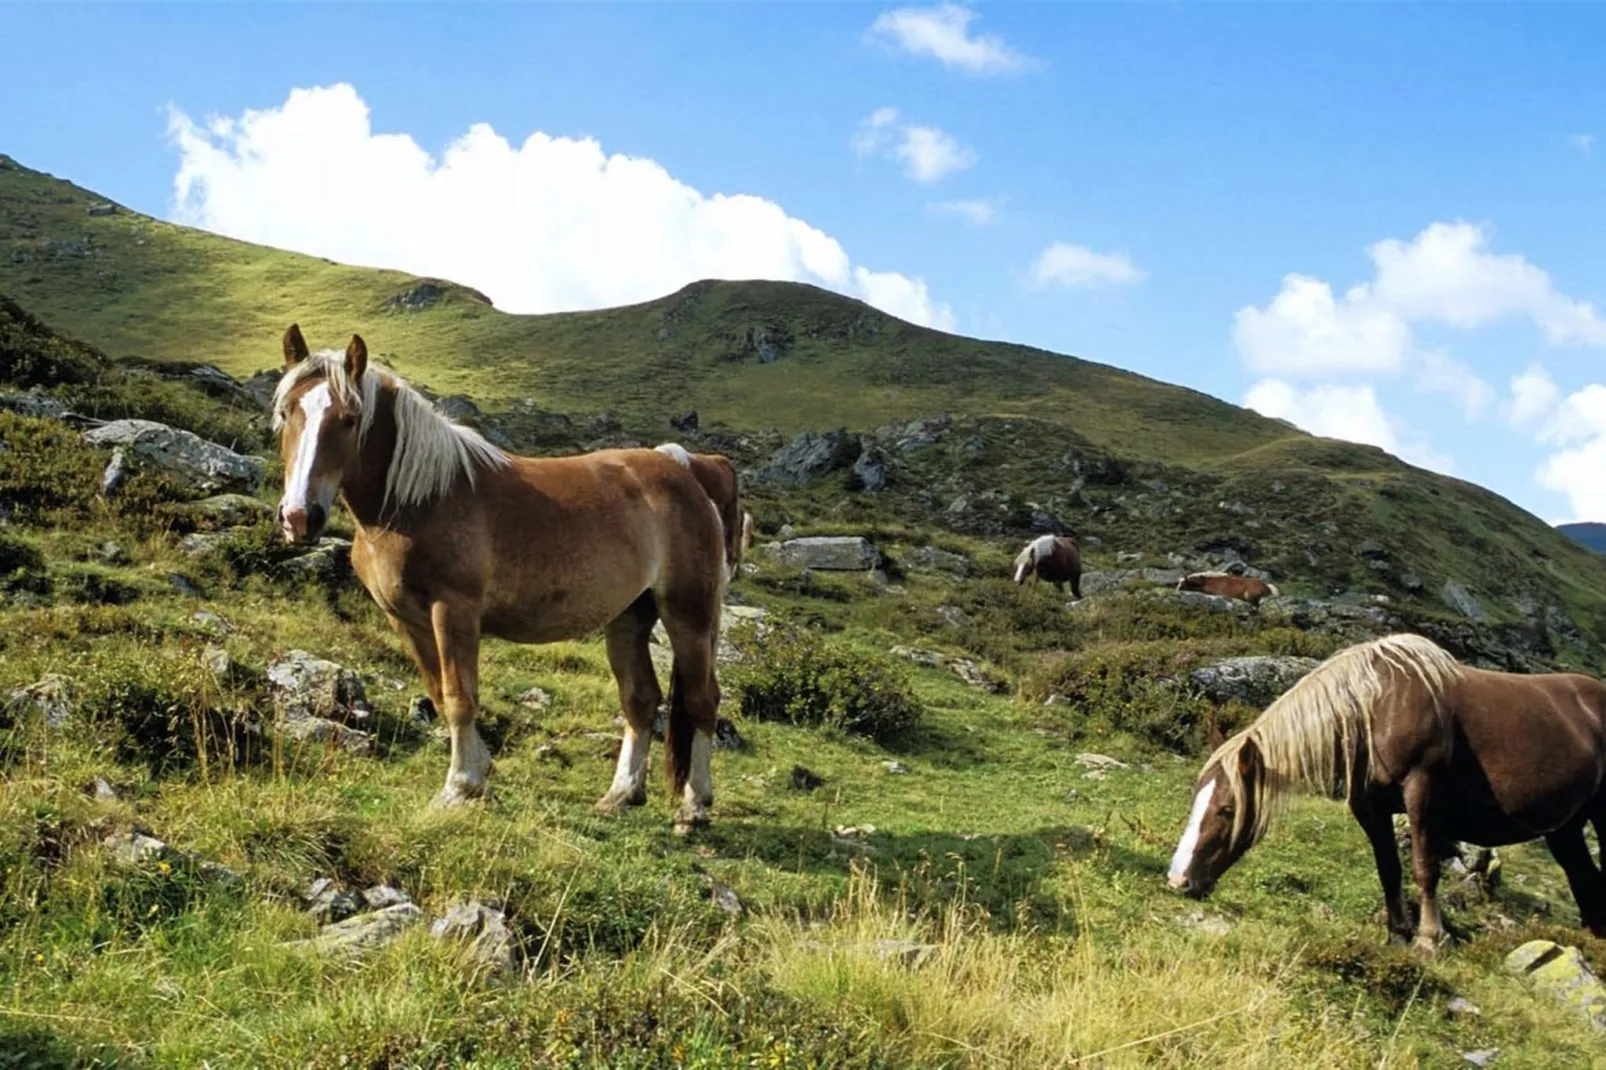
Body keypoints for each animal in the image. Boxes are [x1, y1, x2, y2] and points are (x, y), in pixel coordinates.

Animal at [271, 324, 735, 835]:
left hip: (689, 614)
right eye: (287, 412)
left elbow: (459, 697)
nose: (300, 517)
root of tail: (689, 471)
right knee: (640, 700)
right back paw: (621, 794)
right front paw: (481, 776)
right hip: (630, 618)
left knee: (702, 700)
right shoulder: (405, 620)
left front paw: (460, 787)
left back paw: (694, 806)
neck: (419, 500)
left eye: (350, 419)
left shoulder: (454, 610)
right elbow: (440, 693)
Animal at [1169, 629, 1606, 944]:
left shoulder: (1421, 793)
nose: (1178, 881)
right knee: (1585, 879)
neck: (1378, 707)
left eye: (1227, 809)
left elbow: (1424, 868)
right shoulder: (1369, 807)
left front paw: (1430, 939)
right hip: (1566, 829)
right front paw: (1398, 935)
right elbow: (1388, 869)